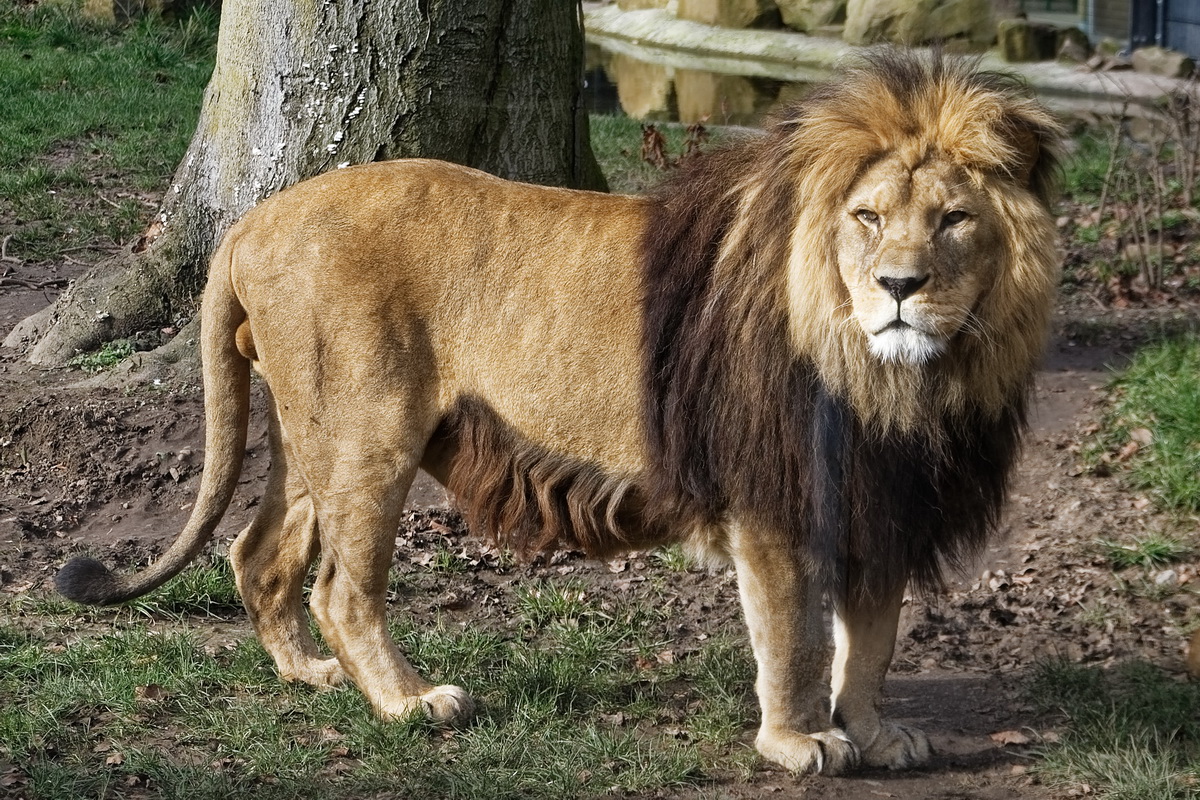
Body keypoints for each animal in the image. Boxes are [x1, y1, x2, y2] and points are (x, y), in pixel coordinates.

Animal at [56, 50, 1062, 775]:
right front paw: (799, 742)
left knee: (259, 554)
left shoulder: (884, 494)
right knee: (342, 587)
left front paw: (875, 733)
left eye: (954, 220)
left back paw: (310, 675)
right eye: (867, 217)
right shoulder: (771, 496)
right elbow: (795, 637)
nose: (900, 288)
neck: (898, 381)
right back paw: (407, 703)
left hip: (313, 434)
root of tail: (250, 220)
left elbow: (873, 636)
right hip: (367, 432)